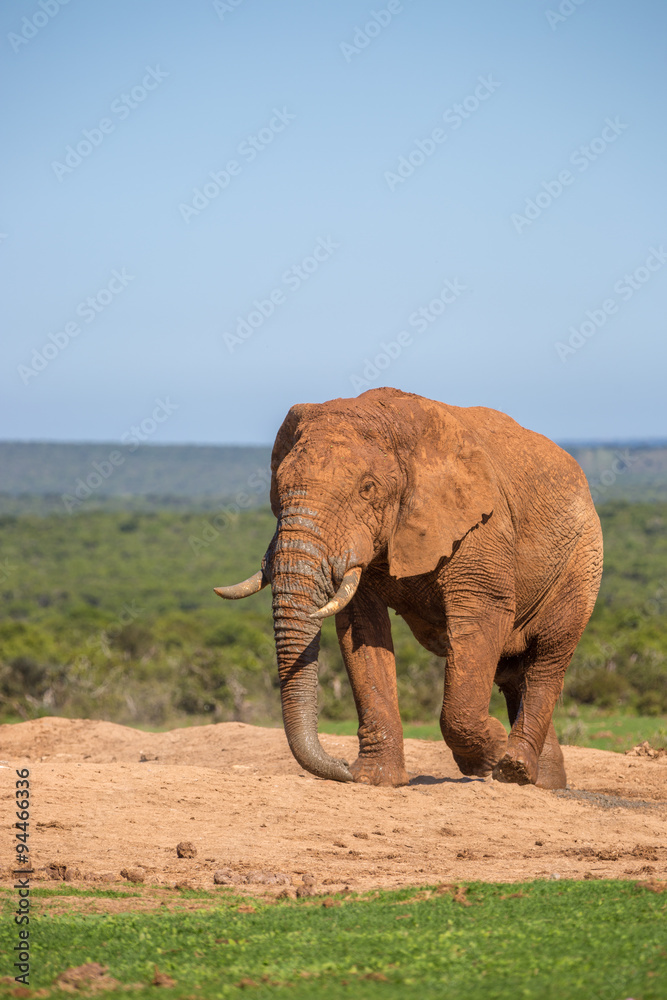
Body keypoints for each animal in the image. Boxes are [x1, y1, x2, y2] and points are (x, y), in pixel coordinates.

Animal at [215, 387, 603, 790]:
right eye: (278, 489)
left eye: (367, 489)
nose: (341, 765)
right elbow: (362, 630)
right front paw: (373, 779)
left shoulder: (481, 528)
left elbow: (483, 616)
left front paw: (489, 756)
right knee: (512, 670)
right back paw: (542, 782)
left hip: (581, 557)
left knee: (548, 657)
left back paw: (515, 768)